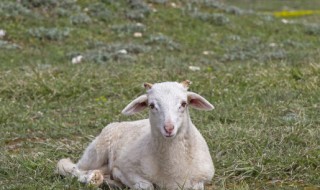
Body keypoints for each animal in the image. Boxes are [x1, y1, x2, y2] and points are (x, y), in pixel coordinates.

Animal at [55, 80, 215, 190]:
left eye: (184, 103)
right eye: (151, 105)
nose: (169, 128)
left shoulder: (203, 178)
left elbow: (197, 186)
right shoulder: (126, 168)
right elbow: (146, 185)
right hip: (96, 151)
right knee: (71, 168)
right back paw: (92, 178)